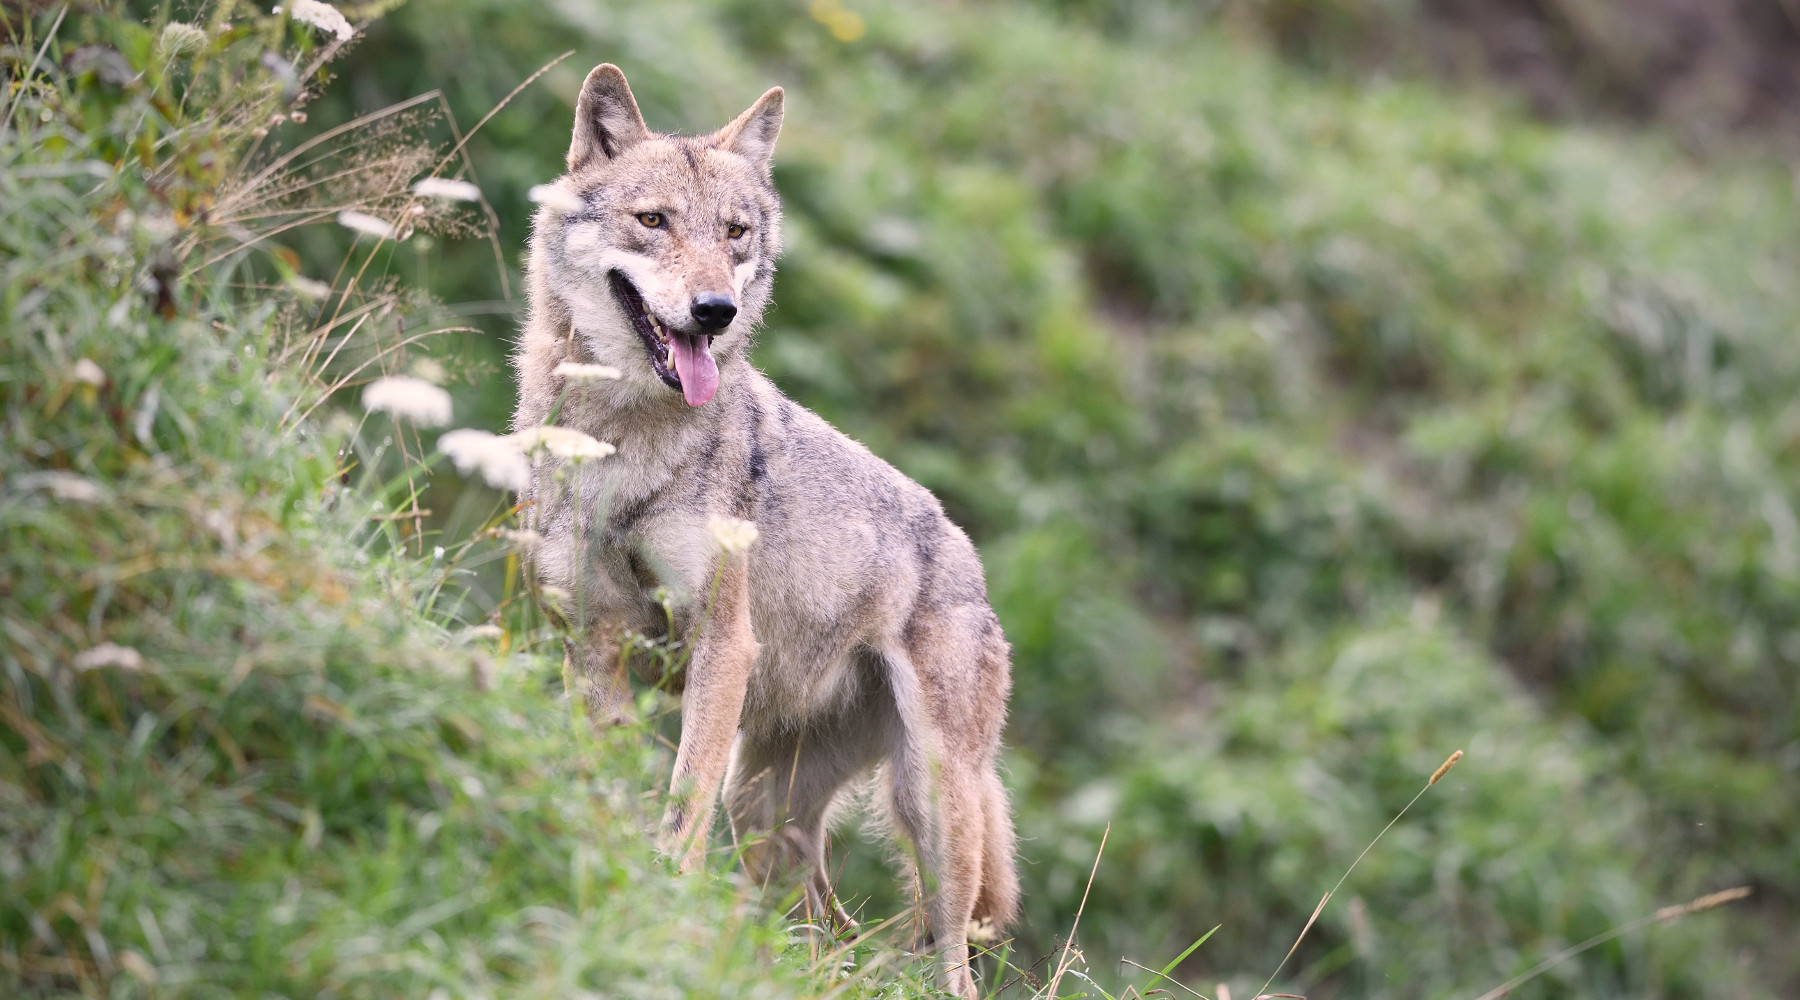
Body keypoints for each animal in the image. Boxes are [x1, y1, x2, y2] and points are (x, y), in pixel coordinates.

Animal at [509, 63, 1019, 997]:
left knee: (949, 954)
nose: (712, 309)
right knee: (828, 926)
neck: (621, 443)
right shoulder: (596, 642)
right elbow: (608, 773)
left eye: (735, 232)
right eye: (654, 221)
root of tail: (967, 552)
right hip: (766, 811)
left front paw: (659, 902)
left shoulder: (722, 645)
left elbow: (681, 803)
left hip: (930, 807)